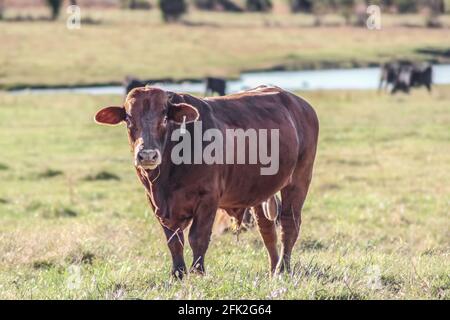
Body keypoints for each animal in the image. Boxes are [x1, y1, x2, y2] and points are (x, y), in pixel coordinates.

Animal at [95, 86, 320, 278]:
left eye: (165, 116)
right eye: (128, 118)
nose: (147, 155)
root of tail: (298, 103)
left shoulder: (207, 200)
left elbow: (198, 238)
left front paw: (198, 273)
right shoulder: (157, 204)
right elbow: (174, 241)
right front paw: (178, 274)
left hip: (299, 180)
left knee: (289, 224)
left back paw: (283, 269)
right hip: (259, 190)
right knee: (267, 229)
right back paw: (273, 270)